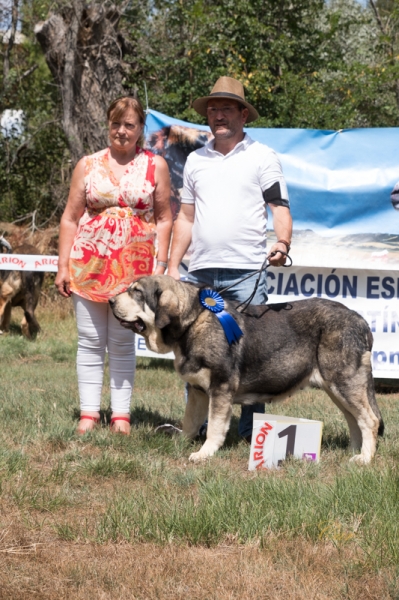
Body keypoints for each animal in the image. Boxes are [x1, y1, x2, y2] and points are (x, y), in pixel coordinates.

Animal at [110, 276, 384, 464]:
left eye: (136, 292)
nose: (110, 300)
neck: (192, 323)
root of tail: (360, 320)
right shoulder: (198, 391)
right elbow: (190, 421)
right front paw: (182, 442)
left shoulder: (220, 389)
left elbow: (215, 427)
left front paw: (204, 453)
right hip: (337, 389)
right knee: (354, 419)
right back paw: (354, 451)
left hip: (345, 383)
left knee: (369, 419)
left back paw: (365, 458)